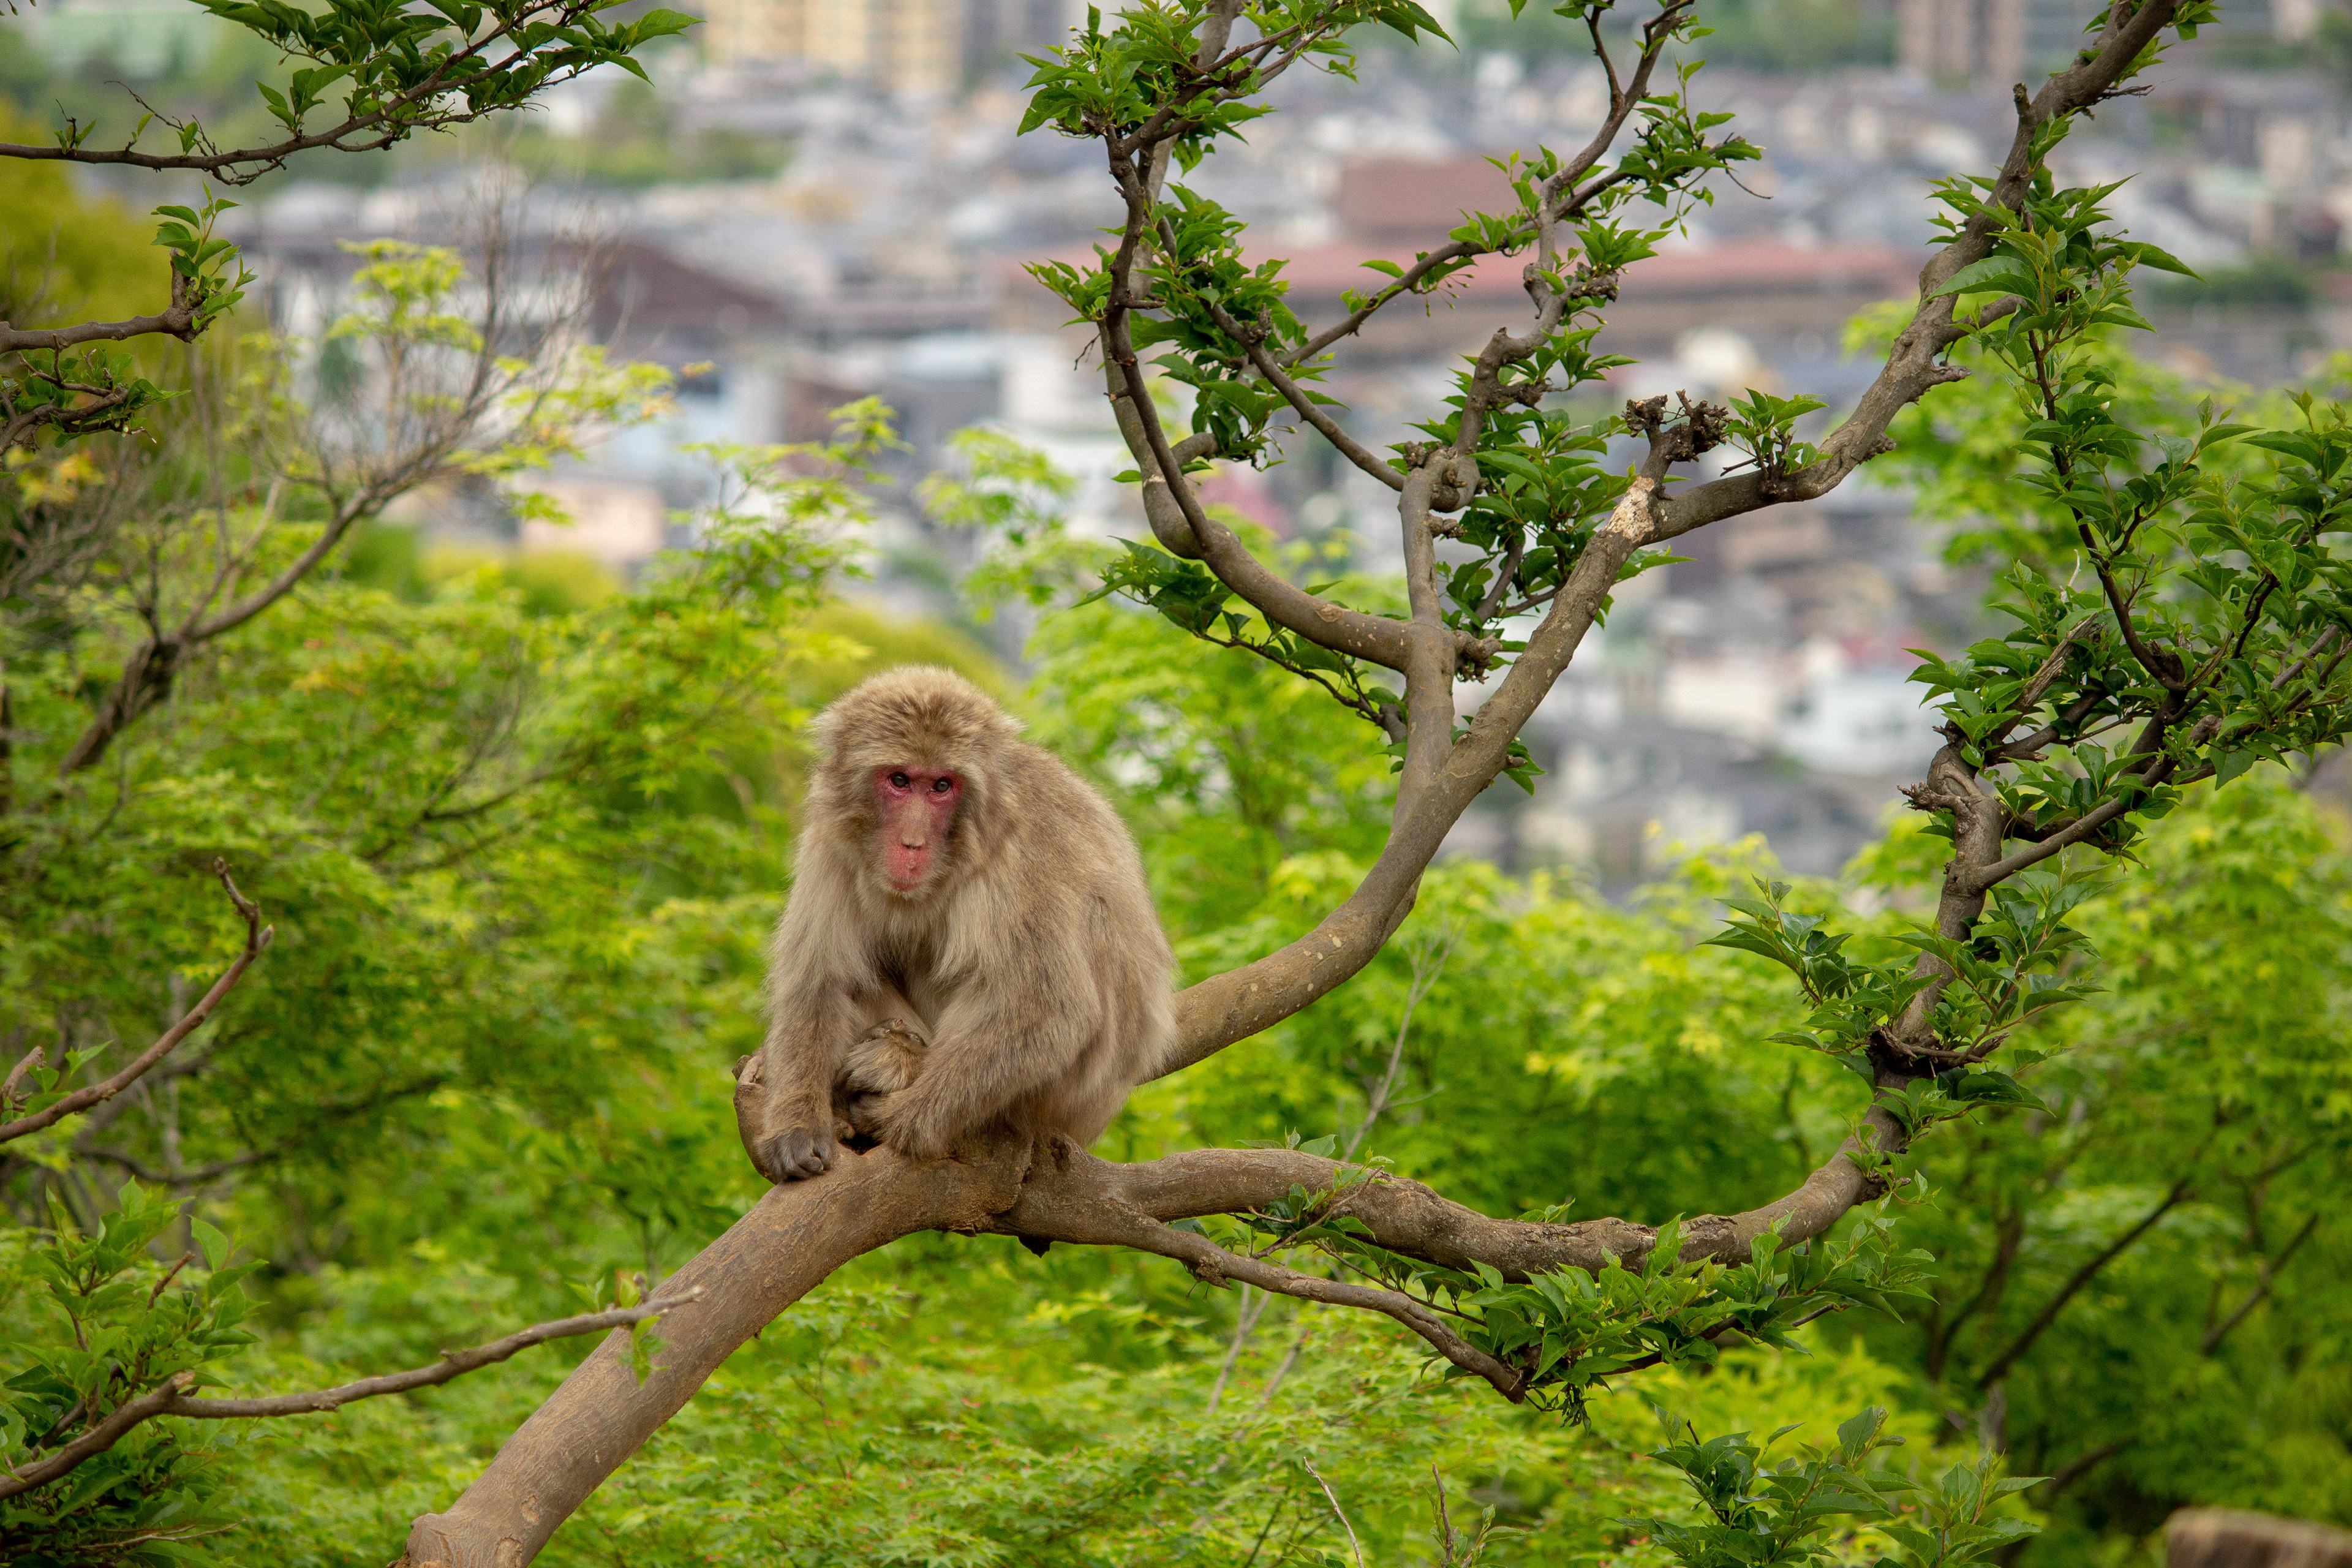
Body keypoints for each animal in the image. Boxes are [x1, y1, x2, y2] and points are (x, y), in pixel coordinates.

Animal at [735, 666, 1176, 1183]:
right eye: (900, 780)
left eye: (942, 786)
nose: (913, 843)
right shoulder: (831, 836)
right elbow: (822, 980)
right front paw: (797, 1128)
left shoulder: (1023, 847)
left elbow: (1048, 1009)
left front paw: (898, 1117)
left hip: (1067, 1096)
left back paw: (901, 1064)